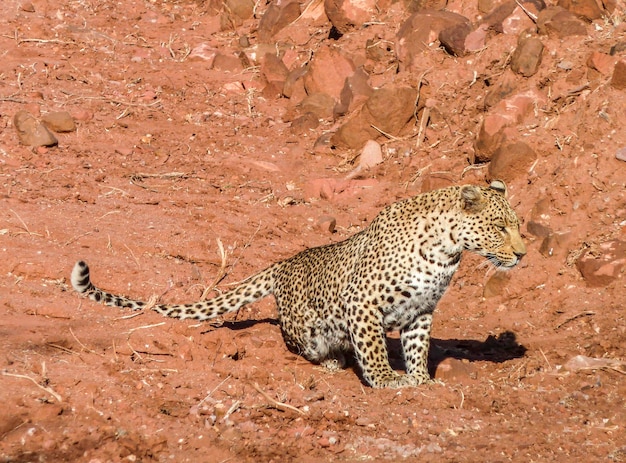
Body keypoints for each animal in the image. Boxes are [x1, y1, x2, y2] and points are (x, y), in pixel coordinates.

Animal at [70, 179, 524, 390]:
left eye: (517, 226)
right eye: (501, 227)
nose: (522, 255)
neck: (448, 251)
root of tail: (284, 262)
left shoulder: (421, 311)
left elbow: (417, 349)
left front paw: (421, 380)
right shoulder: (364, 302)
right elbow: (374, 348)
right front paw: (385, 379)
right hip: (305, 327)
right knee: (302, 343)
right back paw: (332, 361)